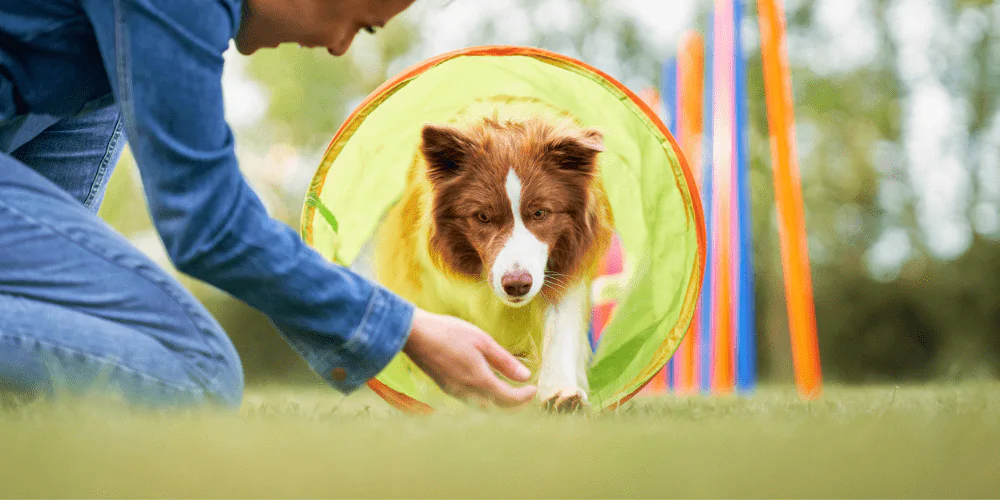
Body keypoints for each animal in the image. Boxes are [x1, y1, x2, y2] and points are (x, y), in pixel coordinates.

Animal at [370, 116, 616, 410]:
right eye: (483, 216)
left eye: (540, 213)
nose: (517, 285)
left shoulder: (564, 267)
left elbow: (560, 325)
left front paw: (560, 393)